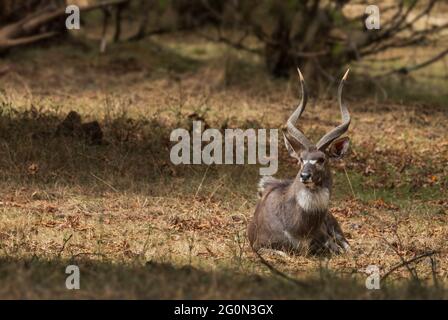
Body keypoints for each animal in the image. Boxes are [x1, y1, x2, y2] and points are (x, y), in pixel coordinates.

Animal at [247, 68, 352, 255]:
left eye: (321, 159)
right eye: (301, 159)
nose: (305, 176)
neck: (298, 228)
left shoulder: (325, 239)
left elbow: (339, 248)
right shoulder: (258, 245)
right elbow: (281, 253)